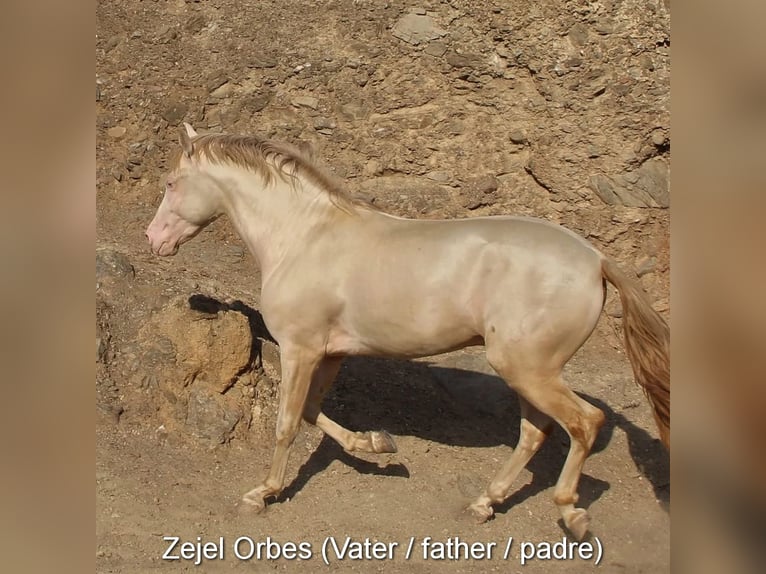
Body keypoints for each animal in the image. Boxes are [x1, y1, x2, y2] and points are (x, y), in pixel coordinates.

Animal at [147, 124, 668, 544]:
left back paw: (571, 513)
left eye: (171, 183)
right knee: (535, 433)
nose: (154, 239)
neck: (304, 237)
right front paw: (377, 446)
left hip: (529, 369)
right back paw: (484, 503)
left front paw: (262, 494)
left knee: (584, 423)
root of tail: (595, 260)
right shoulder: (330, 354)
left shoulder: (300, 350)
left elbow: (288, 423)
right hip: (527, 372)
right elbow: (315, 413)